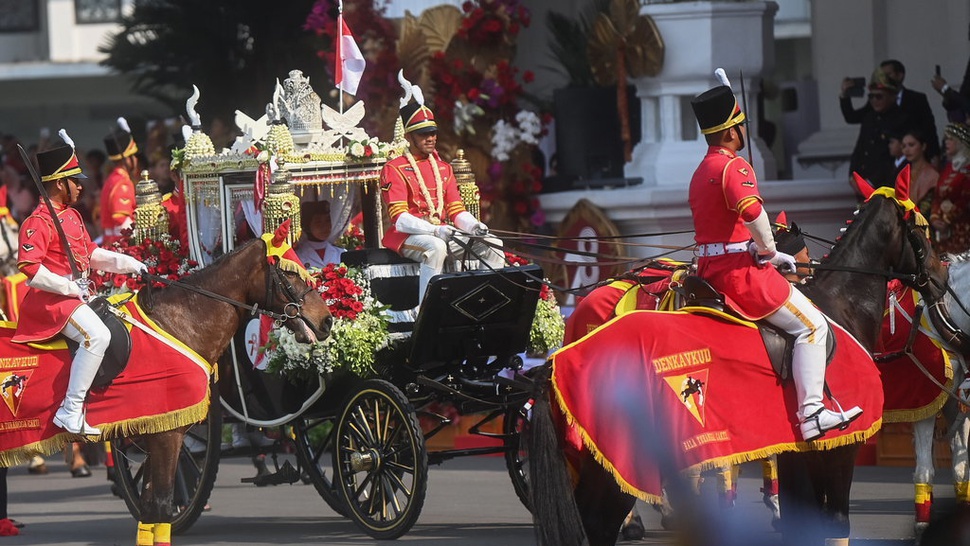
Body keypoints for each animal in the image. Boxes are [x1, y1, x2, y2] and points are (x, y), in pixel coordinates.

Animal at [116, 236, 328, 540]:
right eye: (289, 275)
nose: (327, 319)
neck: (177, 325)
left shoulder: (155, 433)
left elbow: (150, 510)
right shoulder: (167, 433)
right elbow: (161, 507)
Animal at [524, 176, 948, 540]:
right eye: (924, 229)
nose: (942, 277)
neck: (840, 306)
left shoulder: (796, 452)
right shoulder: (842, 449)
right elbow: (835, 524)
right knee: (598, 524)